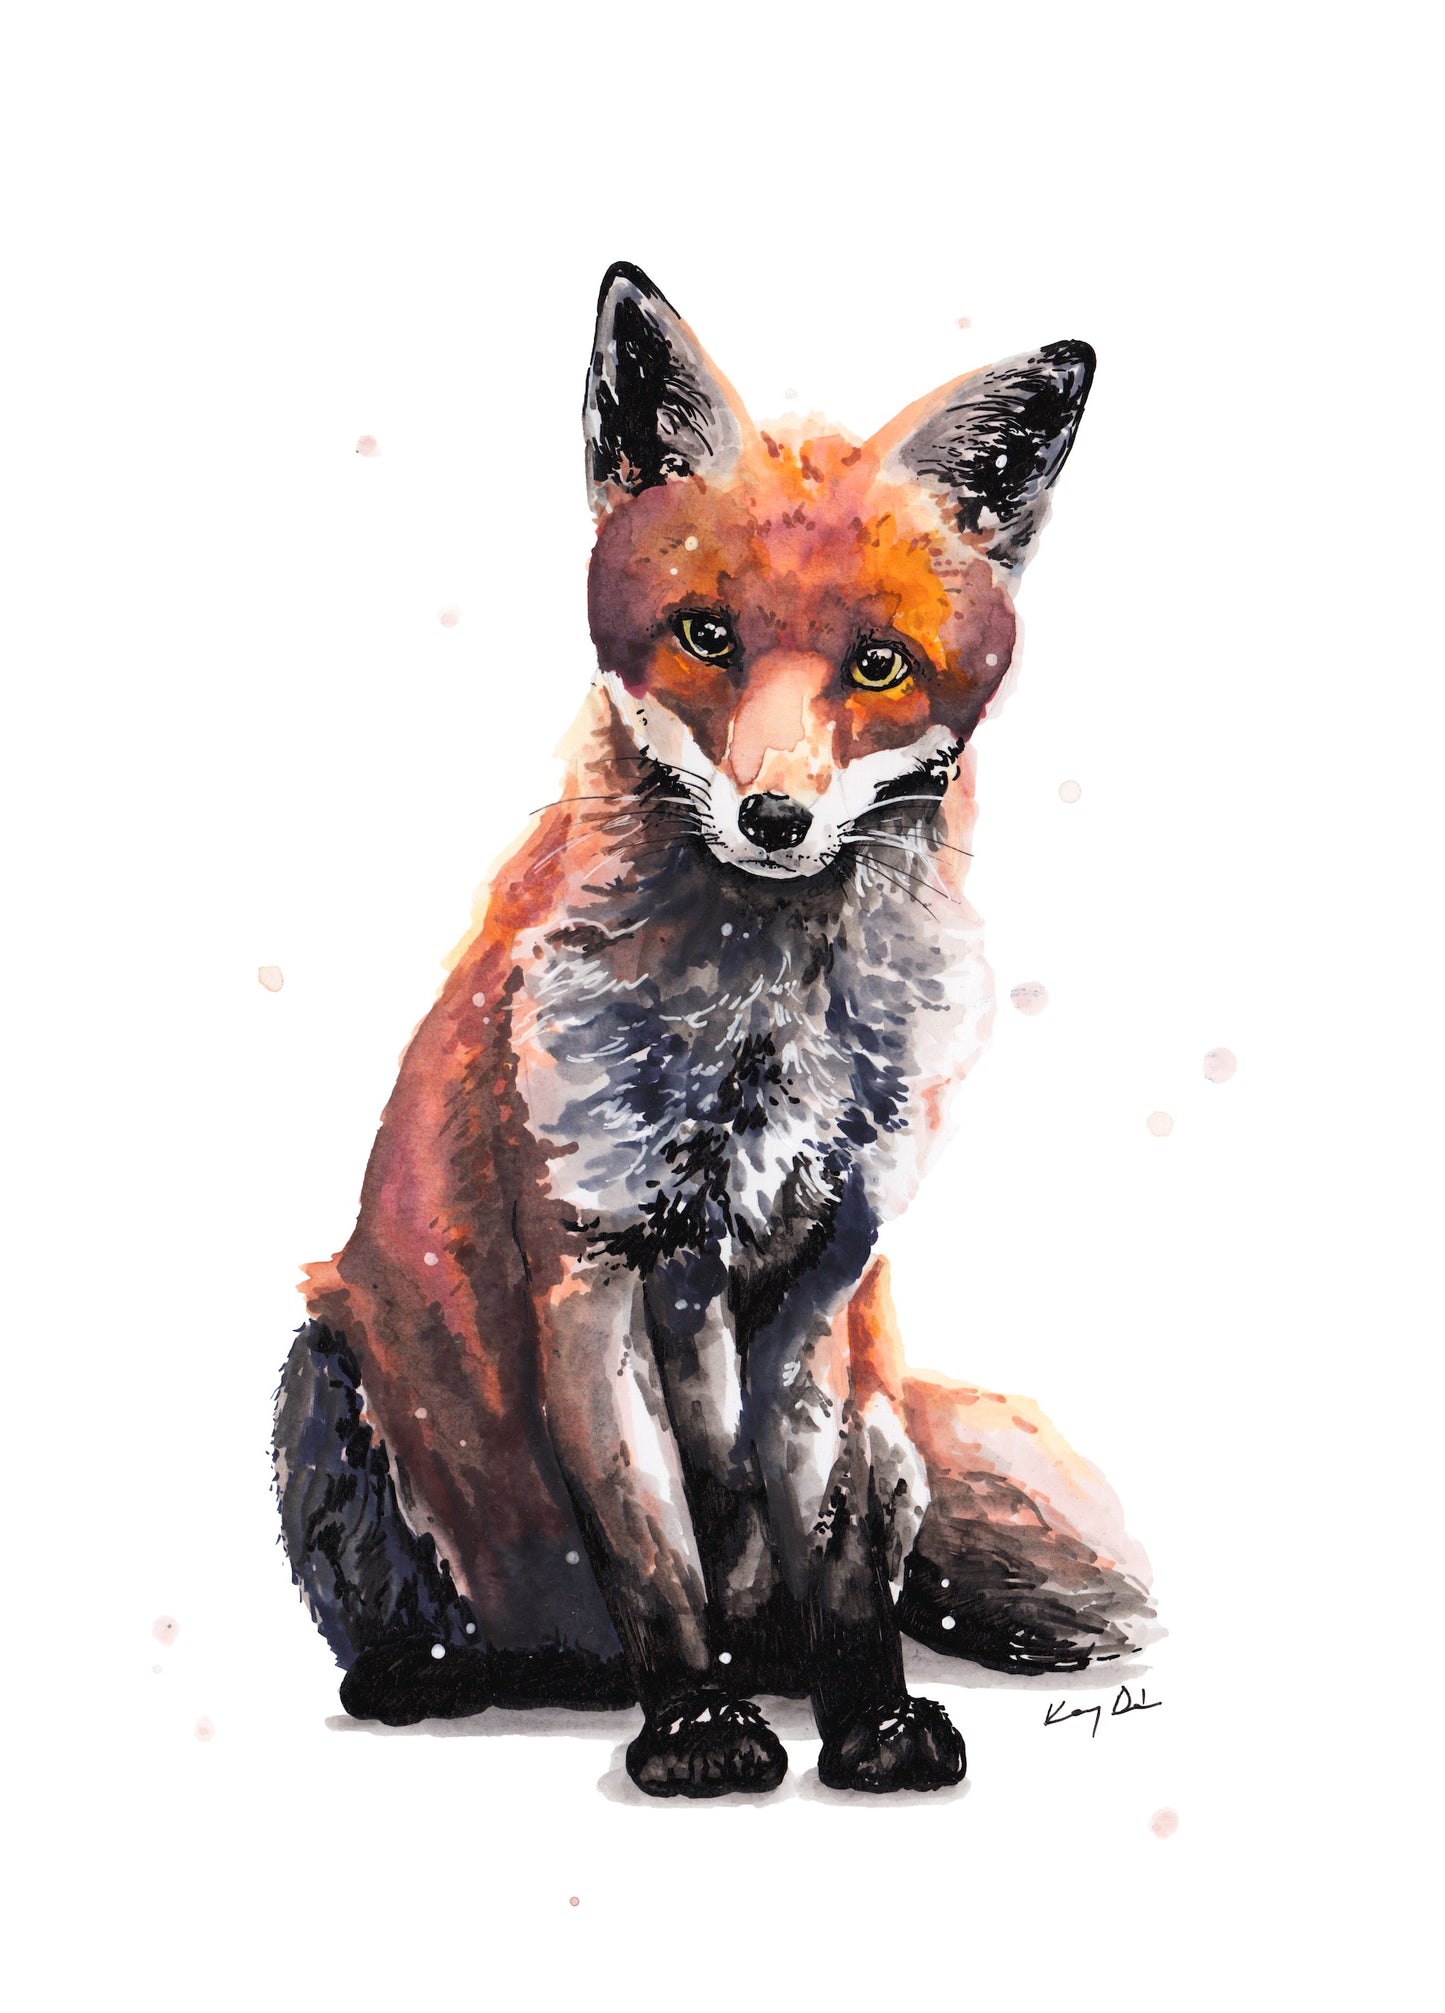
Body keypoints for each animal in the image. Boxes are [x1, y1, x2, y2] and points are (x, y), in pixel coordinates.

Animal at [273, 262, 1154, 1797]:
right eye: (704, 636)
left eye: (878, 665)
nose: (775, 816)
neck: (761, 1041)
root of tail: (558, 1669)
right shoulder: (590, 1265)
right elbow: (656, 1550)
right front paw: (694, 1726)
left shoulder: (826, 1283)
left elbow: (843, 1562)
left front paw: (865, 1723)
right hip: (323, 1363)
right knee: (455, 1626)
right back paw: (431, 1677)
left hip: (895, 1415)